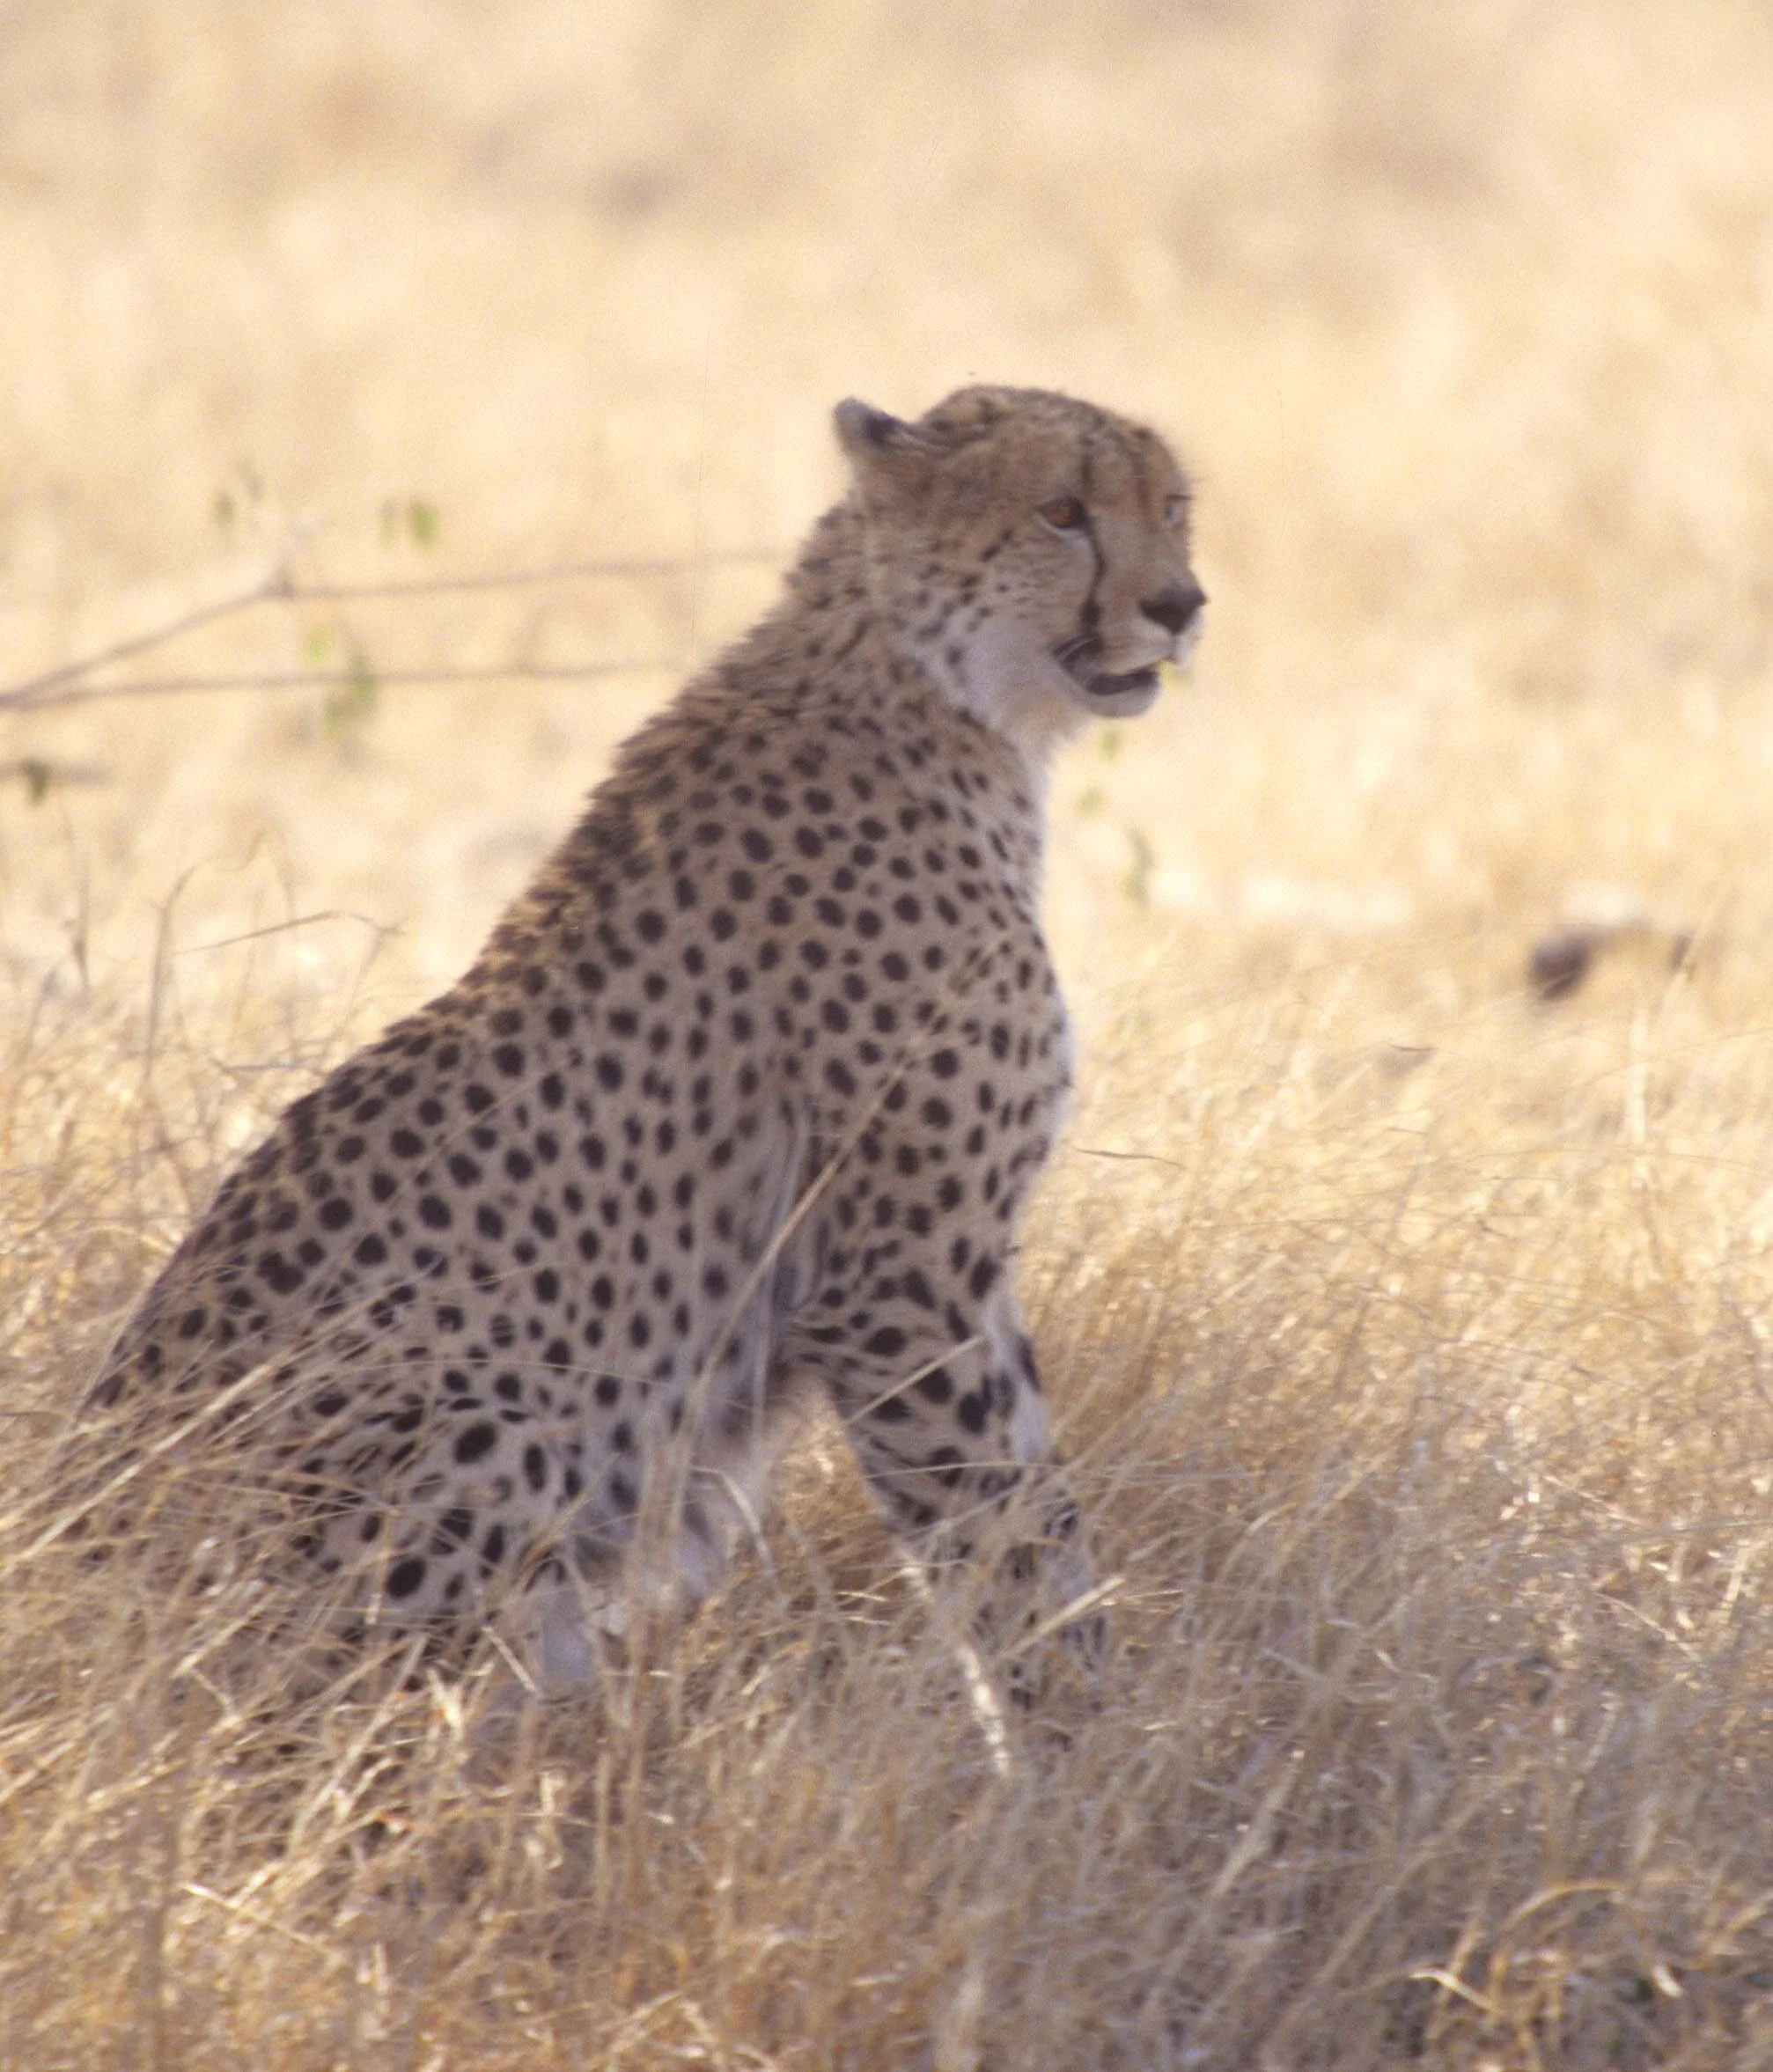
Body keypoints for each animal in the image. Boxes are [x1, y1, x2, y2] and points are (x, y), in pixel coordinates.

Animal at [78, 384, 1205, 1704]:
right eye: (1061, 511)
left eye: (1169, 506)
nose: (1180, 604)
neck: (932, 691)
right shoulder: (902, 1275)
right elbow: (1003, 1542)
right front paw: (1071, 1731)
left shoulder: (953, 1275)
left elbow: (1045, 1520)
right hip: (484, 1423)